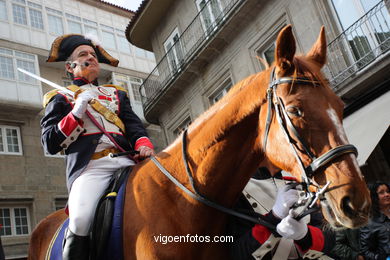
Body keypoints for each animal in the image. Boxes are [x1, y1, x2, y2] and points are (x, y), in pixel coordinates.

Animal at [29, 25, 370, 260]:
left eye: (340, 107)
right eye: (296, 110)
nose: (357, 202)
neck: (185, 202)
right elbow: (51, 135)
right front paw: (81, 101)